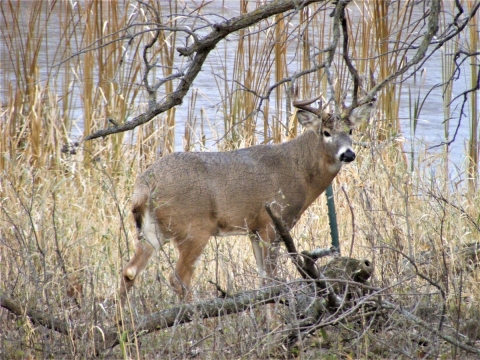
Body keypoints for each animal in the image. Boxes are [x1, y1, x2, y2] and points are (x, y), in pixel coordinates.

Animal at [120, 97, 376, 302]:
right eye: (326, 133)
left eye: (351, 131)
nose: (348, 154)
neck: (300, 172)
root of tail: (145, 185)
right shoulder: (272, 224)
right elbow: (272, 281)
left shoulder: (254, 230)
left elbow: (263, 280)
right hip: (193, 230)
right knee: (179, 279)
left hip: (152, 229)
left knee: (129, 272)